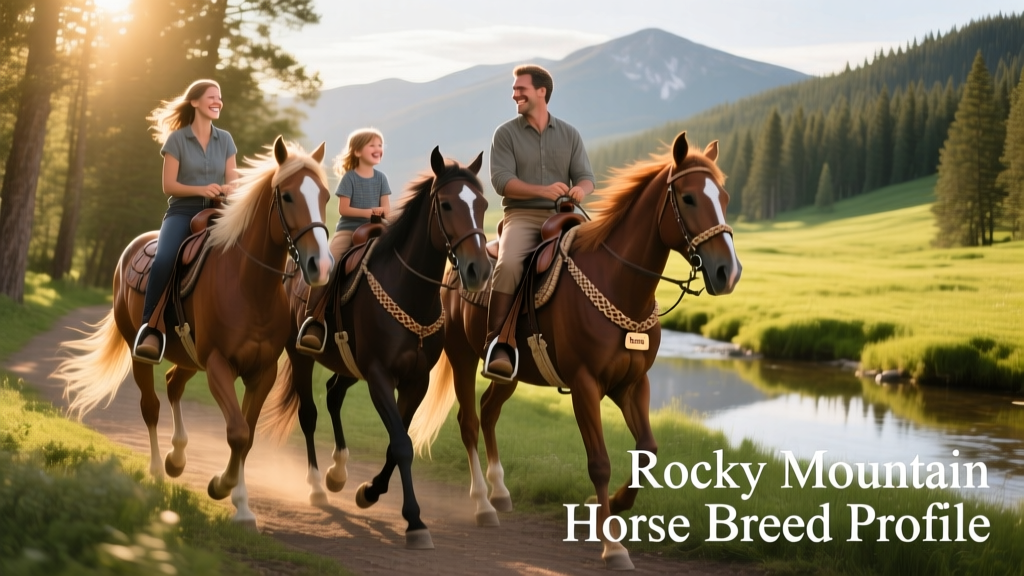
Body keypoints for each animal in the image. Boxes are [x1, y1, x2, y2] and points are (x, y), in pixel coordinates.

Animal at [54, 137, 333, 526]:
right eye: (289, 196)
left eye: (325, 195)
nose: (320, 265)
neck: (249, 286)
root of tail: (129, 250)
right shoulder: (218, 365)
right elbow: (237, 431)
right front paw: (221, 486)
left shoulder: (262, 372)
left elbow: (246, 436)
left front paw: (242, 505)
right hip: (141, 352)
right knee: (151, 405)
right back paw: (159, 468)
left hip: (188, 357)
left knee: (173, 384)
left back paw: (177, 457)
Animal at [258, 147, 491, 549]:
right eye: (446, 205)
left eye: (483, 203)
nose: (479, 269)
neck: (410, 291)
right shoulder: (380, 376)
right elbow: (401, 444)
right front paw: (414, 520)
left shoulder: (415, 381)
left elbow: (397, 443)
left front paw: (369, 491)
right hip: (302, 356)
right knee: (309, 413)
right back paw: (317, 486)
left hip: (349, 367)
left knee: (334, 394)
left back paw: (338, 472)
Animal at [408, 131, 742, 569]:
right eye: (688, 198)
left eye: (724, 195)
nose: (728, 272)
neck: (619, 283)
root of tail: (455, 267)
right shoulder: (585, 386)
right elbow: (599, 463)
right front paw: (612, 543)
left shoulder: (633, 384)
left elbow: (648, 452)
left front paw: (612, 505)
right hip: (462, 357)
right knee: (469, 421)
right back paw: (483, 504)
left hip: (510, 372)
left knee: (489, 410)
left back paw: (500, 491)